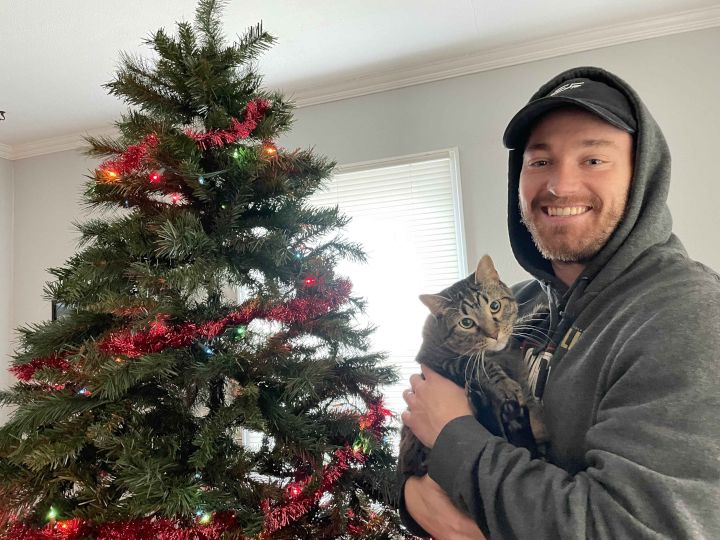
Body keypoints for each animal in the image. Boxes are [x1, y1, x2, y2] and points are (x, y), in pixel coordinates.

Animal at [398, 255, 546, 482]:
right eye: (466, 323)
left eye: (494, 306)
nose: (494, 334)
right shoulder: (441, 361)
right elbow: (481, 366)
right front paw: (505, 385)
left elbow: (515, 329)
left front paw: (536, 314)